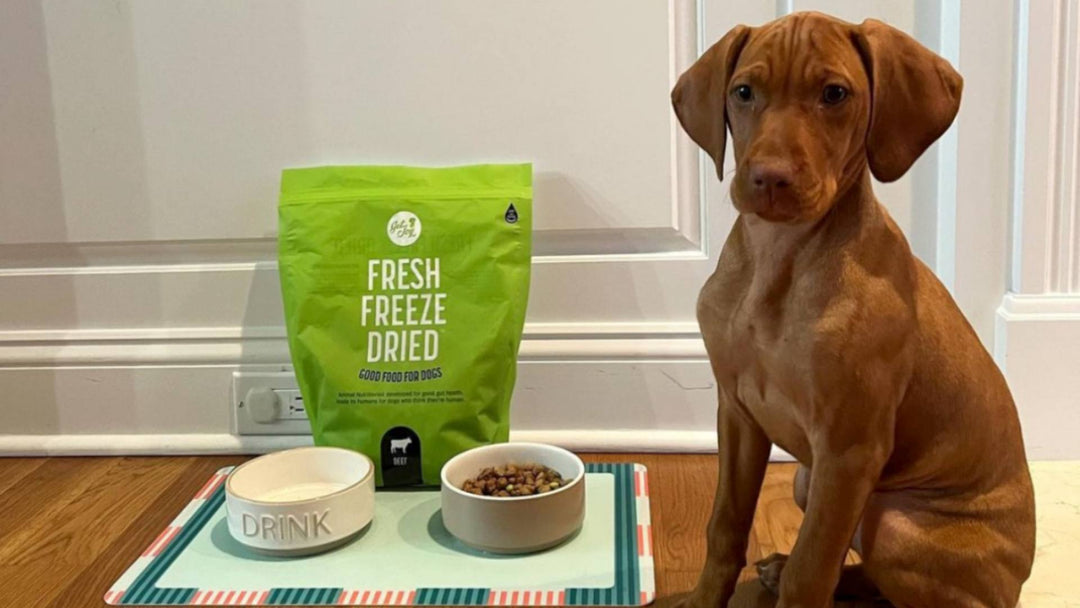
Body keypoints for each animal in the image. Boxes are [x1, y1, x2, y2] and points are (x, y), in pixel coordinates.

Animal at [669, 10, 1032, 608]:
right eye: (744, 92)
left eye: (834, 94)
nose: (769, 178)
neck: (778, 262)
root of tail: (1016, 584)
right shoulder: (738, 413)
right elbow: (724, 527)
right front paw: (702, 600)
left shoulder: (848, 448)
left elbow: (812, 570)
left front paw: (793, 578)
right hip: (806, 479)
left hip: (892, 519)